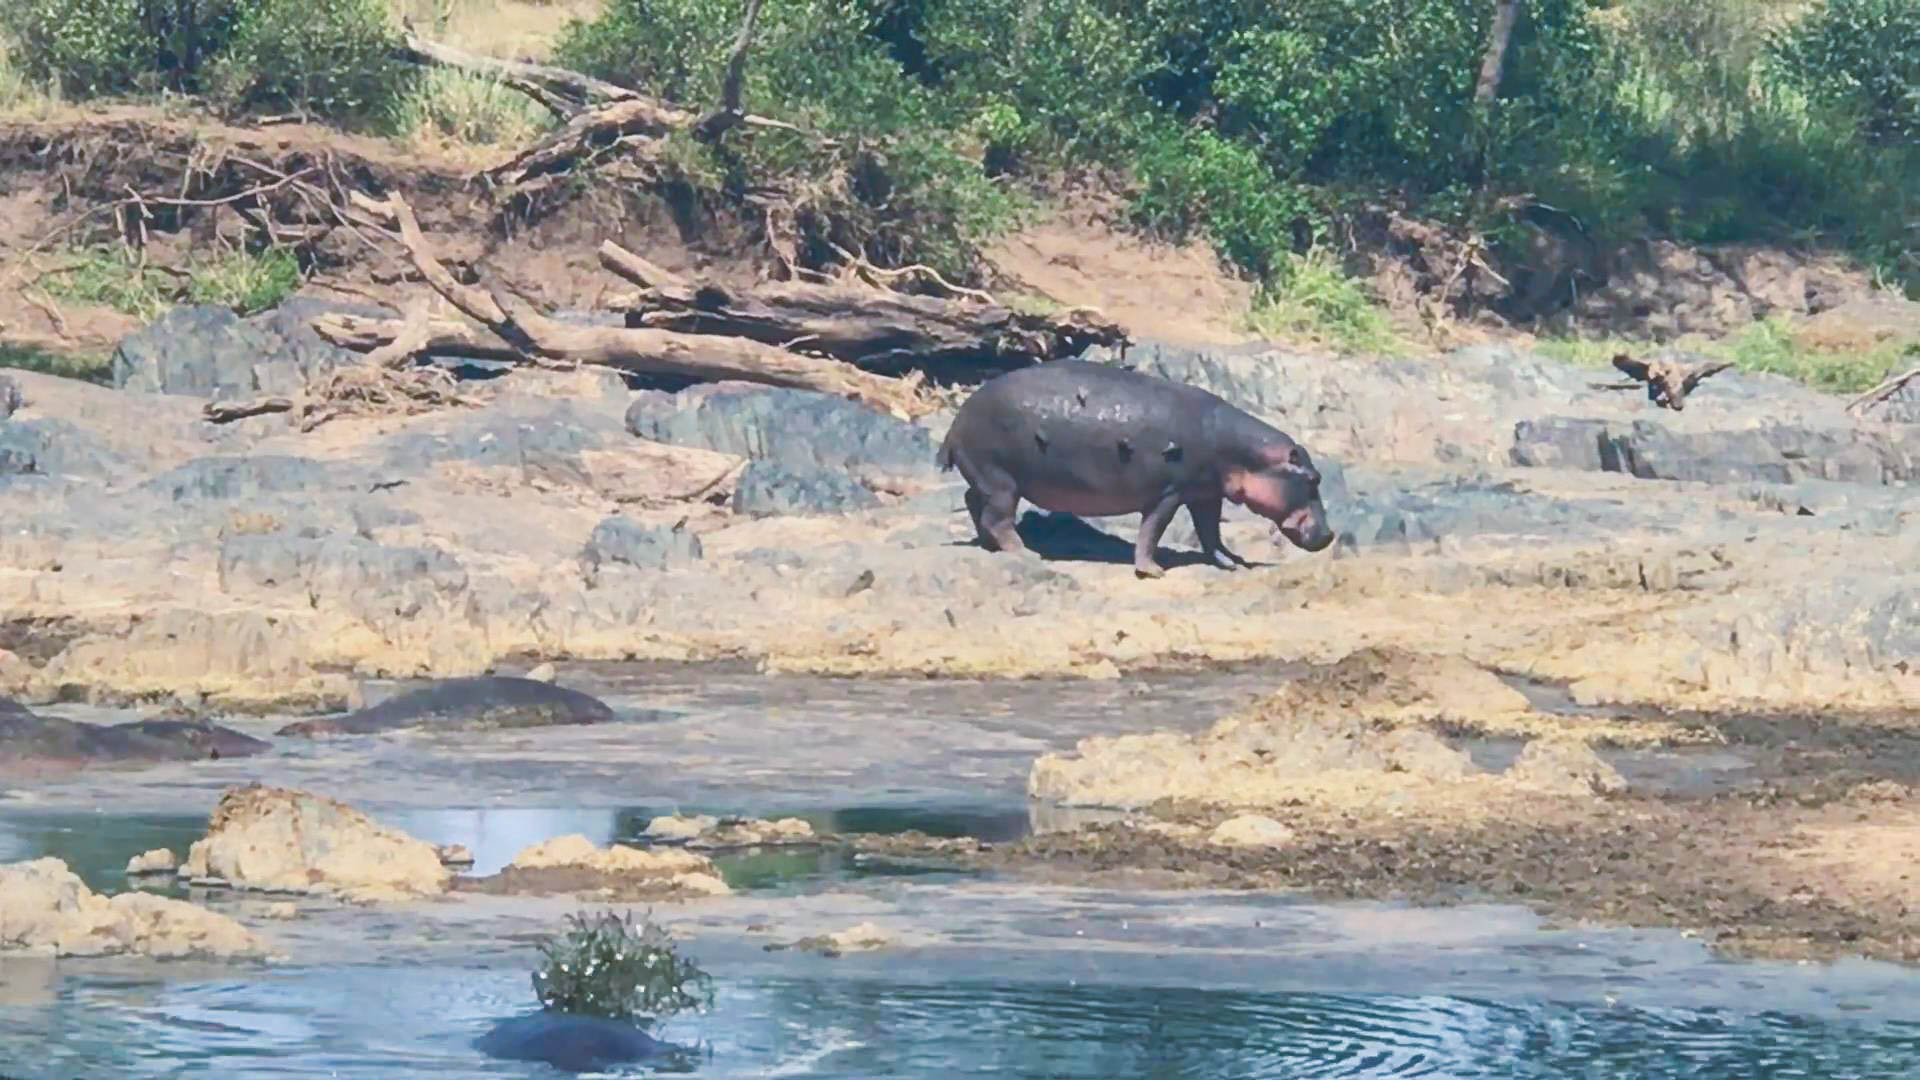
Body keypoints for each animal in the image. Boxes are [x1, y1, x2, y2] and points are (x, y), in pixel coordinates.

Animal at [933, 359, 1336, 576]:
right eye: (1314, 478)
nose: (1331, 535)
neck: (1246, 453)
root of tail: (955, 421)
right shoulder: (1170, 492)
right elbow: (1153, 529)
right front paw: (1152, 571)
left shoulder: (1205, 493)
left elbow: (1210, 533)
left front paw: (1233, 562)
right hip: (1003, 482)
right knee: (997, 517)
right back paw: (1028, 554)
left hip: (988, 478)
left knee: (973, 502)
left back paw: (989, 547)